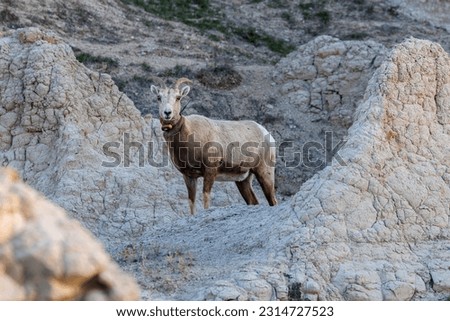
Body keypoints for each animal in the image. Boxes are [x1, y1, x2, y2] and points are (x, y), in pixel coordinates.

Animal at [153, 76, 276, 214]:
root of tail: (265, 132)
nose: (167, 113)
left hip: (265, 173)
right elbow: (191, 202)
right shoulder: (189, 176)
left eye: (178, 97)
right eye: (158, 97)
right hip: (243, 180)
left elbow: (206, 198)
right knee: (254, 201)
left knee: (273, 200)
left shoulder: (210, 171)